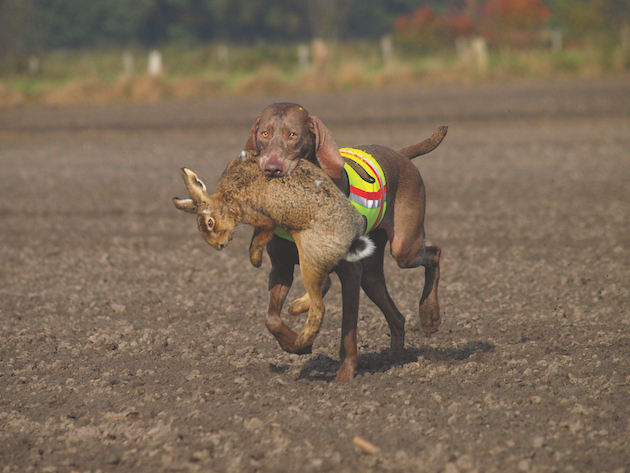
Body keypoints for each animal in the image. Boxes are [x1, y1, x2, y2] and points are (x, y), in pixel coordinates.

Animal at [244, 101, 446, 382]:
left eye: (292, 135)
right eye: (264, 133)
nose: (272, 169)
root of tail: (401, 155)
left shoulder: (350, 273)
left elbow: (348, 329)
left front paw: (344, 376)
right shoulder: (281, 267)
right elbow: (271, 319)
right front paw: (297, 344)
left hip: (404, 248)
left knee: (434, 253)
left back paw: (430, 316)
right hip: (371, 273)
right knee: (396, 316)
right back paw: (395, 359)